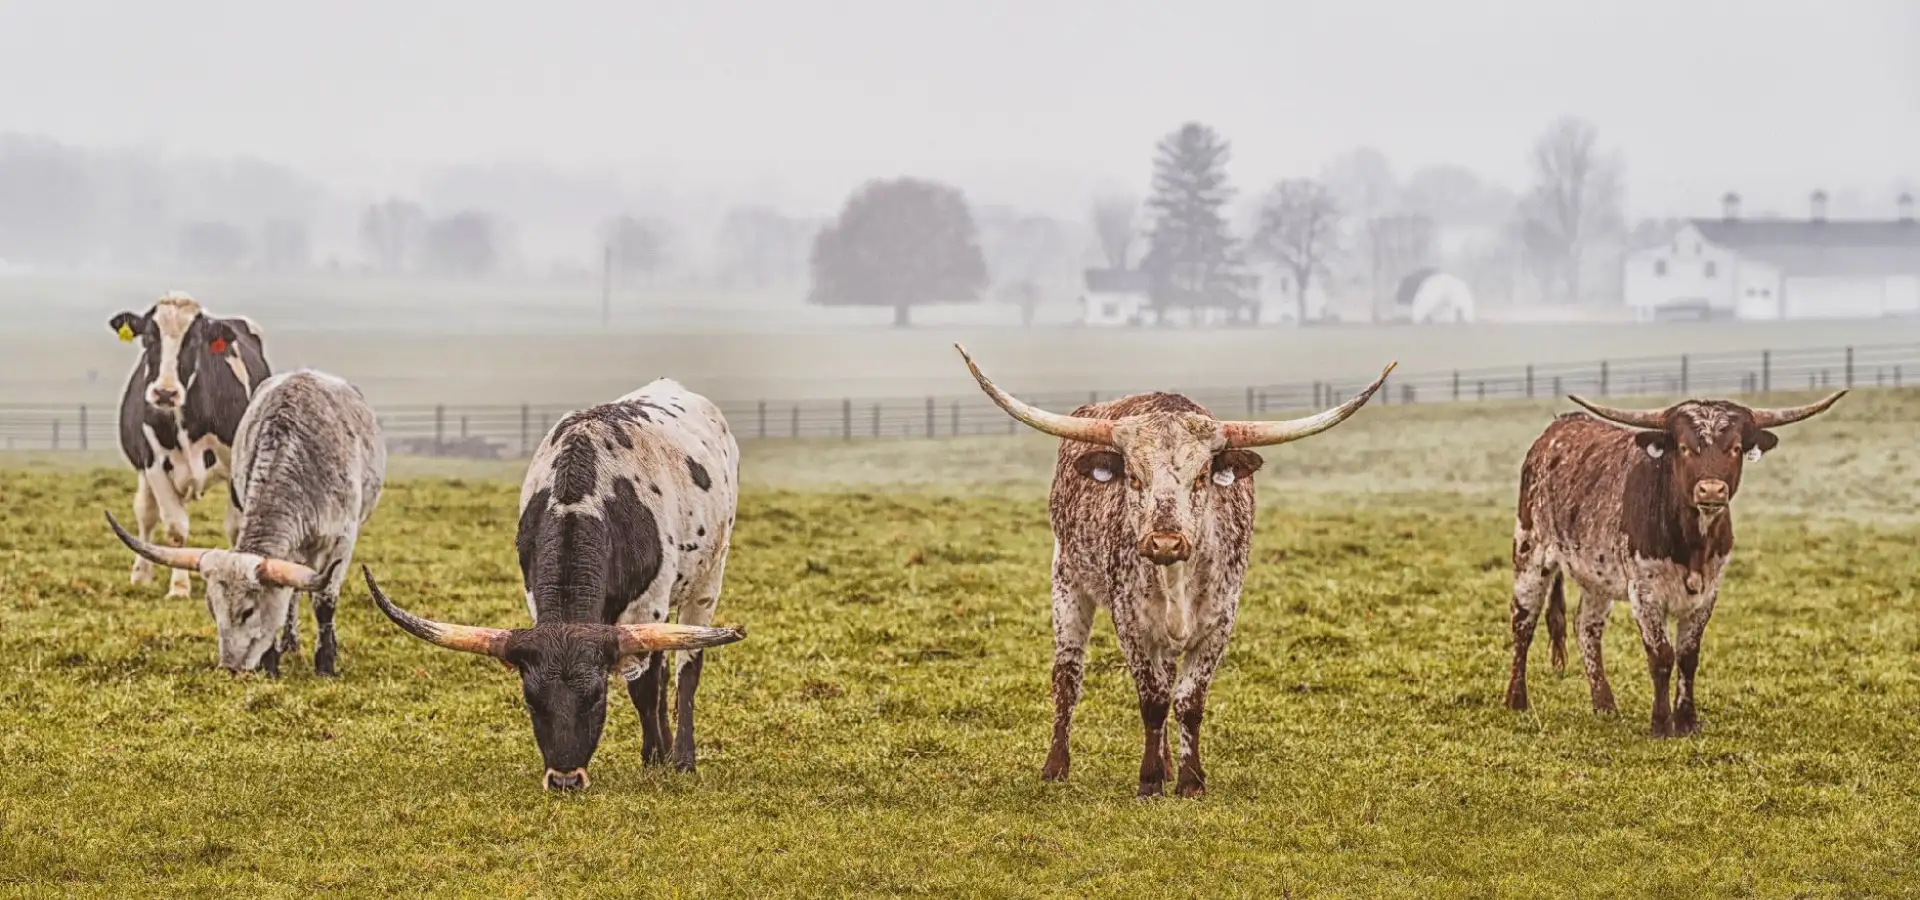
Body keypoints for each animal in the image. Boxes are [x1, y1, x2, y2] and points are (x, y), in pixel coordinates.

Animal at [106, 369, 387, 678]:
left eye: (248, 610)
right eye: (212, 609)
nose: (230, 667)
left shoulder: (341, 542)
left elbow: (324, 602)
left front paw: (325, 663)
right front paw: (271, 661)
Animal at [109, 291, 272, 599]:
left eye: (195, 341)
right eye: (149, 338)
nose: (165, 393)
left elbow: (236, 527)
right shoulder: (155, 465)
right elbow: (175, 528)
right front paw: (179, 588)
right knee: (146, 515)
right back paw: (141, 574)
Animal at [360, 378, 748, 791]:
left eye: (595, 697)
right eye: (531, 700)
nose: (565, 780)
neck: (582, 497)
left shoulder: (649, 605)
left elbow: (643, 687)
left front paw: (657, 757)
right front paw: (654, 752)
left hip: (707, 579)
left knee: (685, 669)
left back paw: (682, 757)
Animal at [955, 344, 1395, 799]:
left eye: (1202, 476)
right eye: (1133, 477)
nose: (1164, 542)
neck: (1177, 581)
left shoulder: (1220, 623)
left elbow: (1188, 702)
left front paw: (1189, 780)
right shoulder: (1130, 622)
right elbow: (1152, 701)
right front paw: (1149, 781)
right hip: (1067, 579)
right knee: (1068, 674)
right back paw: (1056, 766)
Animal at [1504, 391, 1848, 736]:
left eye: (1736, 447)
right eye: (1683, 447)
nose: (1711, 490)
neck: (1692, 545)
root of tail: (1558, 427)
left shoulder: (1707, 594)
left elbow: (1687, 656)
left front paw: (1686, 721)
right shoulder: (1644, 593)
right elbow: (1661, 656)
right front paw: (1660, 724)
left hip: (1596, 575)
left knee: (1586, 627)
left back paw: (1605, 705)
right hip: (1530, 552)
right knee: (1523, 622)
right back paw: (1516, 700)